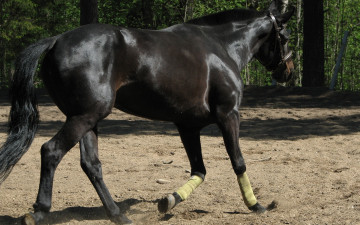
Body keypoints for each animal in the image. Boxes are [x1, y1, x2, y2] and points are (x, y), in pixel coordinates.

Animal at [0, 0, 294, 224]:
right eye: (287, 36)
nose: (288, 71)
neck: (220, 47)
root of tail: (56, 40)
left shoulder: (188, 126)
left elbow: (199, 170)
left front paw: (170, 200)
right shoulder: (228, 115)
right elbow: (238, 161)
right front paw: (255, 205)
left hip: (86, 119)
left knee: (91, 164)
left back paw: (118, 214)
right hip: (85, 117)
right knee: (51, 151)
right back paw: (39, 211)